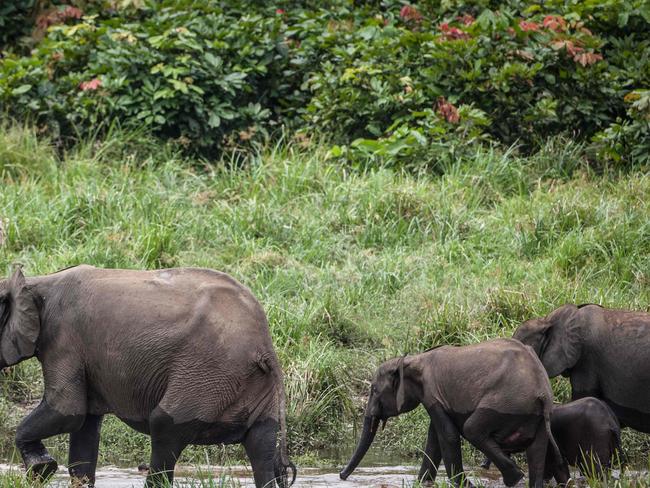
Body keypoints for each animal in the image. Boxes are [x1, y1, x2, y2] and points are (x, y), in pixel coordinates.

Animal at [0, 264, 294, 486]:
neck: (35, 283)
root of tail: (264, 346)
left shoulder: (64, 341)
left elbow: (67, 411)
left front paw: (42, 469)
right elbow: (84, 430)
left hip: (209, 374)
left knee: (164, 427)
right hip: (249, 383)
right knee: (261, 446)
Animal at [340, 340, 568, 488]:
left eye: (374, 390)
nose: (341, 476)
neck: (413, 359)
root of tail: (542, 392)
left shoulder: (432, 392)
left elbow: (447, 435)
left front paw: (463, 485)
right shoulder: (435, 398)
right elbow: (434, 440)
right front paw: (422, 483)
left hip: (507, 402)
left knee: (472, 429)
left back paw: (515, 478)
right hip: (536, 414)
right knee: (537, 449)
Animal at [480, 396, 624, 480]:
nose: (483, 466)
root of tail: (611, 422)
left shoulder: (549, 441)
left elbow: (556, 467)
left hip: (596, 435)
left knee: (596, 469)